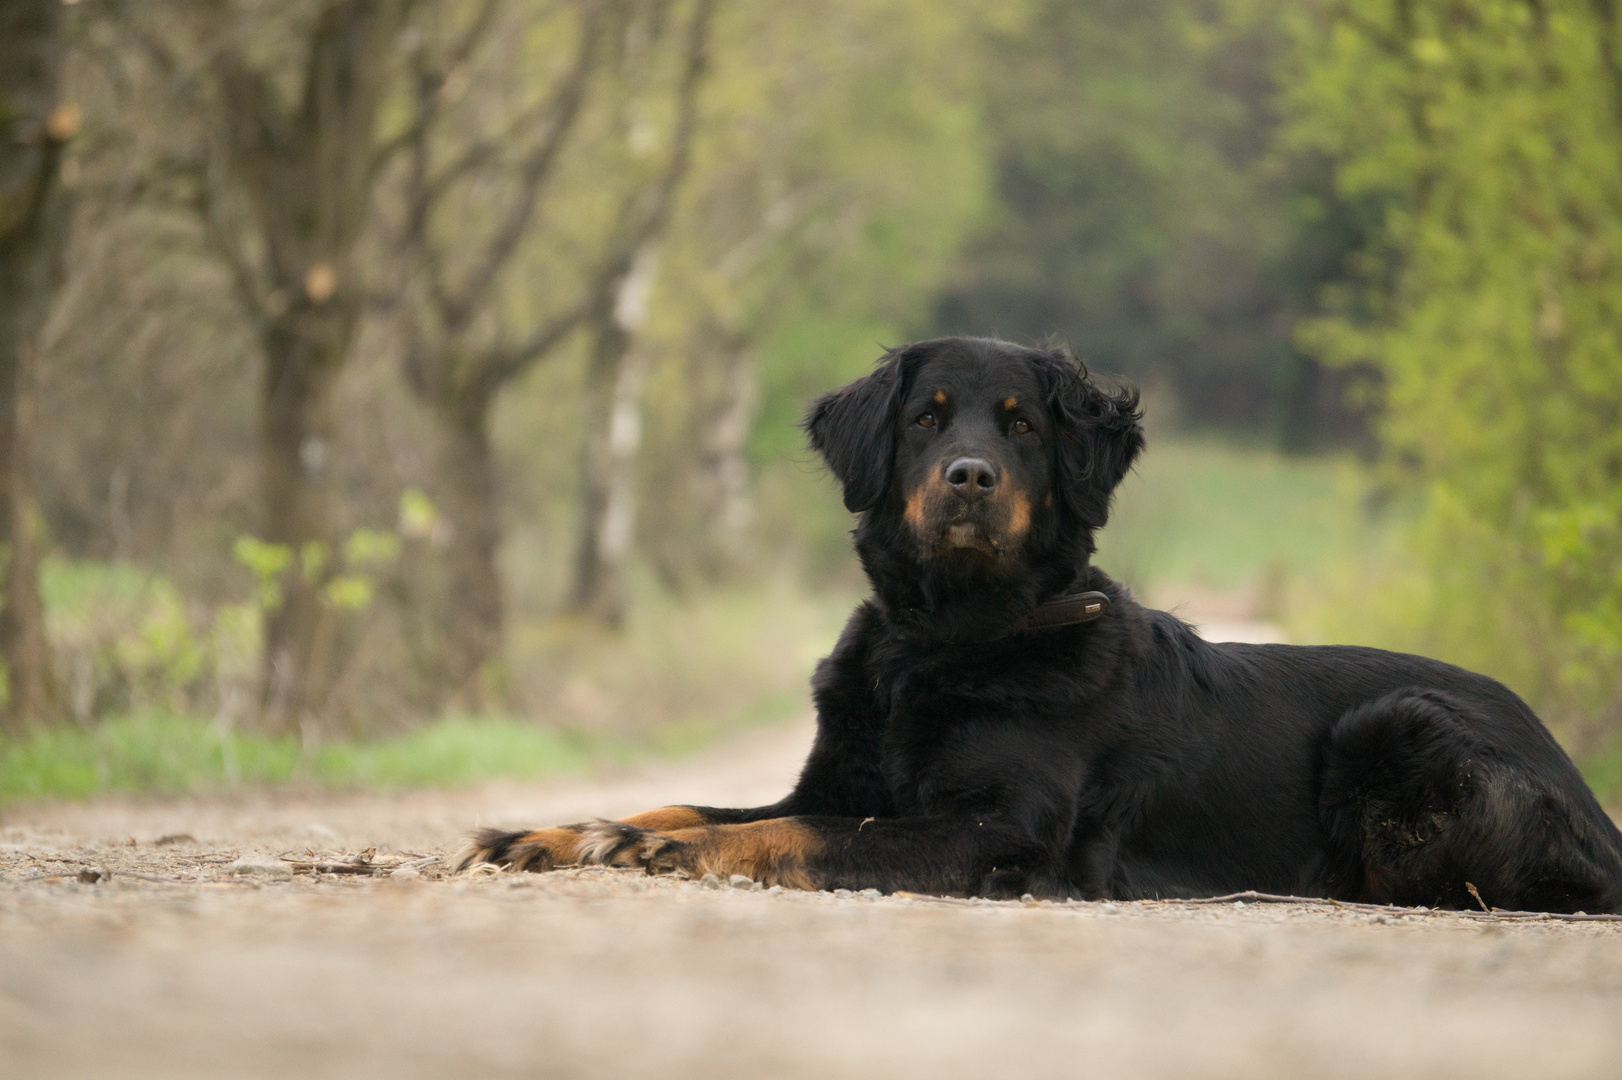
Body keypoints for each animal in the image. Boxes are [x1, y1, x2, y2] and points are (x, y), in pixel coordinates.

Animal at [457, 337, 1622, 908]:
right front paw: (561, 832)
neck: (945, 641)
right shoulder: (832, 775)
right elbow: (698, 803)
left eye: (1019, 428)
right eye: (925, 418)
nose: (968, 478)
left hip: (1396, 721)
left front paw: (666, 854)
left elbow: (805, 833)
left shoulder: (996, 829)